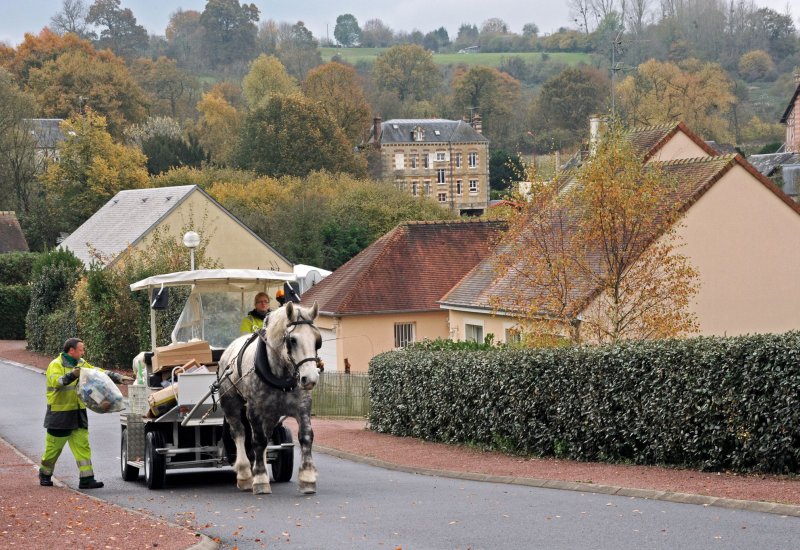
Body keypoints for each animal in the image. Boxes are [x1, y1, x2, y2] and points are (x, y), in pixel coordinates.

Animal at [219, 302, 322, 496]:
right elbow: (257, 441)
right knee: (239, 433)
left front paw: (307, 478)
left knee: (266, 436)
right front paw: (259, 479)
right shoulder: (254, 410)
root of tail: (228, 351)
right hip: (231, 404)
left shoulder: (303, 407)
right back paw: (245, 474)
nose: (310, 378)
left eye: (317, 340)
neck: (281, 378)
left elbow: (305, 436)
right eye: (292, 340)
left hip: (271, 414)